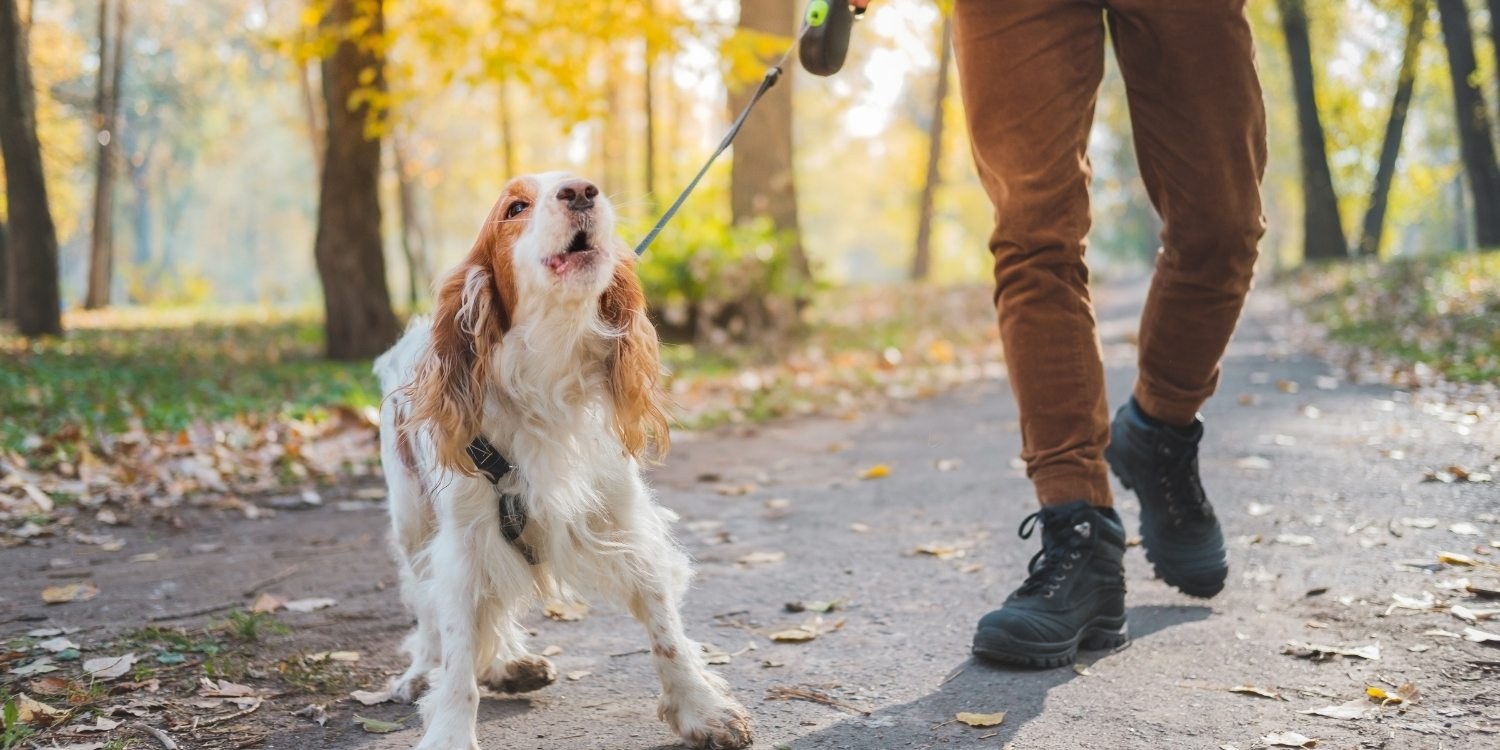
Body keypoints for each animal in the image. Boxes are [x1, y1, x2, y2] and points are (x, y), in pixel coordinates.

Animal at [370, 171, 756, 750]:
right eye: (515, 207)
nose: (580, 191)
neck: (548, 373)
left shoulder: (623, 520)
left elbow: (664, 627)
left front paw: (700, 707)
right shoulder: (463, 543)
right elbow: (457, 657)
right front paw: (450, 732)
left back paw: (511, 664)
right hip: (413, 523)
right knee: (428, 613)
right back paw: (425, 672)